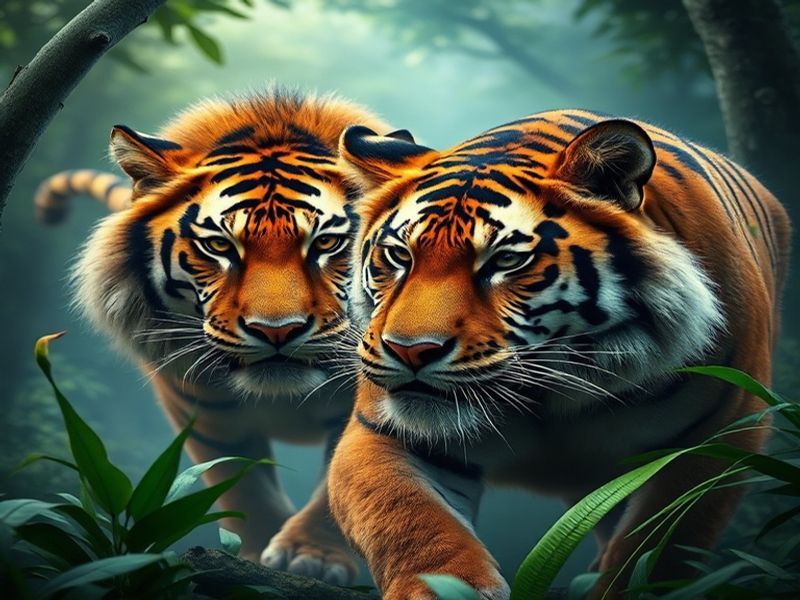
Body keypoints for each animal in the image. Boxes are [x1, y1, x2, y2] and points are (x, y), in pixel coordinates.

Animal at [34, 89, 412, 584]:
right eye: (219, 246)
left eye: (327, 244)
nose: (277, 330)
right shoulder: (200, 408)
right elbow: (244, 485)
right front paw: (253, 562)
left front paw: (311, 556)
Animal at [326, 109, 791, 599]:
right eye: (399, 255)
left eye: (505, 261)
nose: (410, 351)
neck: (550, 391)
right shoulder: (382, 432)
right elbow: (411, 523)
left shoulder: (719, 435)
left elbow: (658, 546)